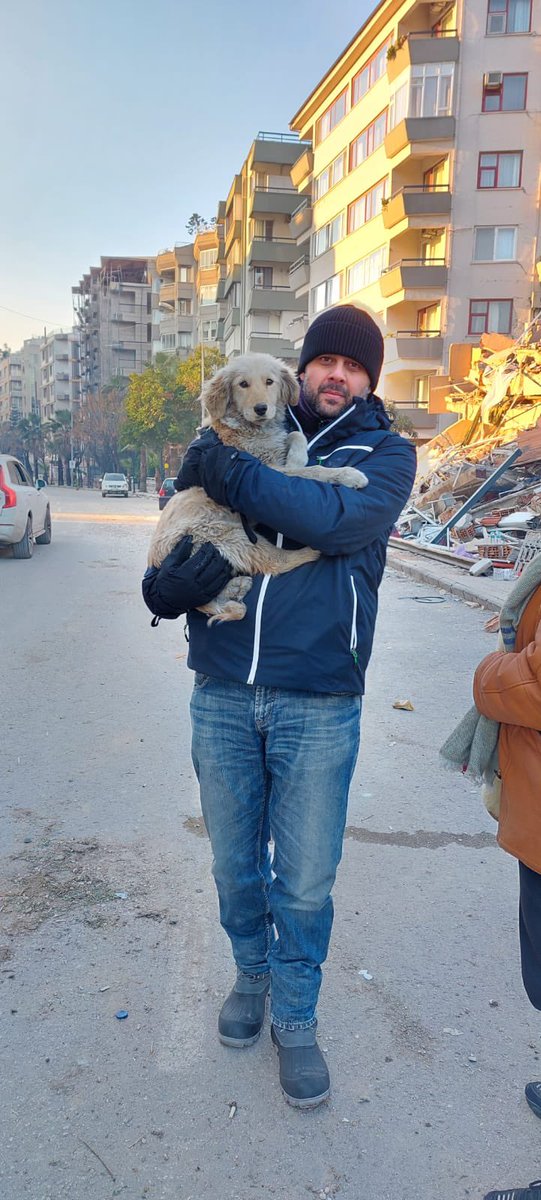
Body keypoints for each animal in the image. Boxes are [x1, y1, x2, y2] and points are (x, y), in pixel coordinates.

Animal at [148, 350, 369, 624]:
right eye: (242, 384)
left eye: (269, 382)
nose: (261, 409)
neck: (252, 429)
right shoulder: (268, 470)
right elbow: (312, 472)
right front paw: (349, 474)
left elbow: (295, 436)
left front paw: (298, 454)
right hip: (228, 535)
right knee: (275, 562)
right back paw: (308, 553)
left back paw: (237, 586)